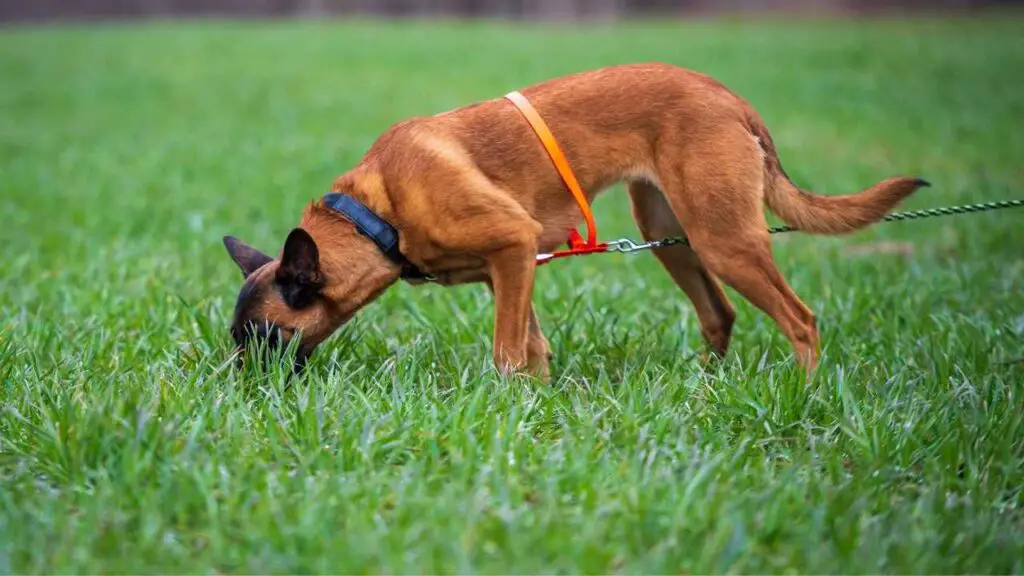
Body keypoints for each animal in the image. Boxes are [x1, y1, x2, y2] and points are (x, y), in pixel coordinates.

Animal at [222, 62, 929, 377]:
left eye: (262, 337)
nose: (239, 390)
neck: (377, 213)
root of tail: (730, 98)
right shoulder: (509, 272)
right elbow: (532, 347)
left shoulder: (512, 247)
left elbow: (508, 352)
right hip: (671, 235)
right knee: (719, 314)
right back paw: (710, 387)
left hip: (724, 238)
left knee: (801, 320)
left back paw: (801, 394)